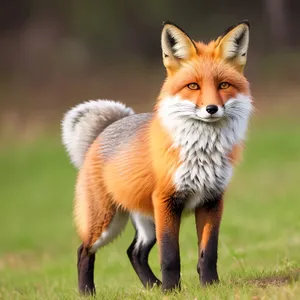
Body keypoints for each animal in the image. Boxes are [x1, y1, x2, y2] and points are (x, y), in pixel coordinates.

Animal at [61, 19, 253, 294]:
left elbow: (208, 253)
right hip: (106, 223)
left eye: (223, 85)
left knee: (134, 252)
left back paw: (151, 286)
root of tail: (105, 131)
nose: (212, 109)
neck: (202, 152)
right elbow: (170, 255)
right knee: (83, 251)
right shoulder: (166, 201)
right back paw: (88, 293)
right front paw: (171, 291)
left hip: (146, 222)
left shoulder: (212, 200)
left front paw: (210, 286)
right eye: (193, 86)